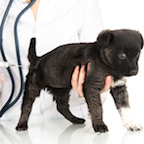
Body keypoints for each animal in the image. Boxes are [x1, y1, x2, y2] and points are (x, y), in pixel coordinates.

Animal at [15, 29, 143, 133]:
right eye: (122, 55)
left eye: (137, 54)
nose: (134, 71)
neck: (105, 62)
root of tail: (38, 59)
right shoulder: (92, 88)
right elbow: (97, 108)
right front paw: (100, 125)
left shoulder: (119, 87)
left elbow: (125, 108)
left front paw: (130, 124)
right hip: (32, 87)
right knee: (26, 107)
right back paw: (21, 124)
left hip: (62, 89)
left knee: (62, 107)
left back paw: (75, 120)